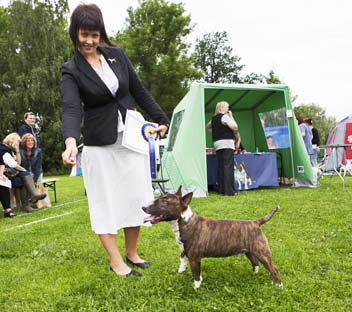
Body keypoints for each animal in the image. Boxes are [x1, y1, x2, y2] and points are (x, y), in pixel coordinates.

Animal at [142, 185, 282, 290]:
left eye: (164, 201)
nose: (143, 207)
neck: (184, 221)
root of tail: (256, 222)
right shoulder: (184, 251)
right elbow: (182, 262)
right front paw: (180, 273)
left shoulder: (194, 258)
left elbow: (196, 275)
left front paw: (196, 288)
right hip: (249, 251)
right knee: (255, 263)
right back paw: (254, 274)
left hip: (262, 252)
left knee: (274, 268)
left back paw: (279, 286)